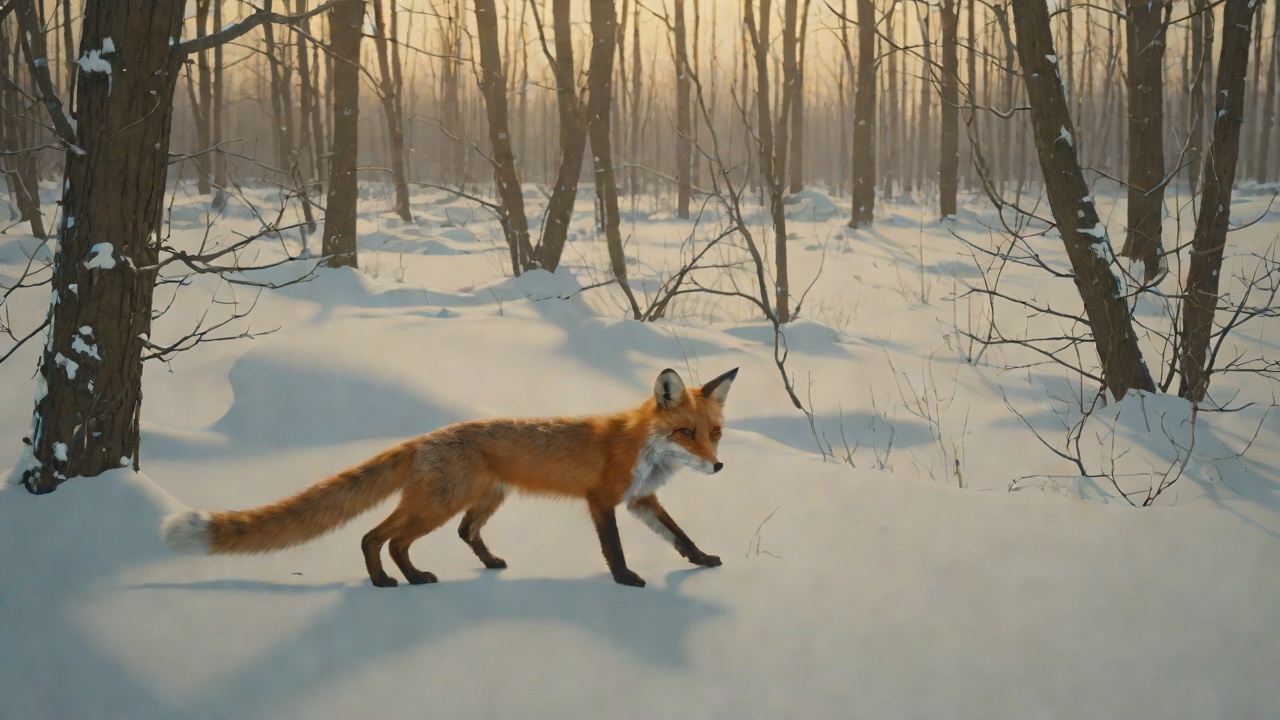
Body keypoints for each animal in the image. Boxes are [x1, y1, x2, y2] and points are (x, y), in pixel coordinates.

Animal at [161, 367, 737, 588]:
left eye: (715, 433)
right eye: (685, 433)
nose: (718, 466)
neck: (640, 447)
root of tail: (422, 439)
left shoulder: (641, 501)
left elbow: (680, 536)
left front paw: (704, 561)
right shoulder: (602, 501)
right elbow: (613, 548)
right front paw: (626, 580)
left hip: (481, 501)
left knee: (456, 533)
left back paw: (473, 566)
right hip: (435, 506)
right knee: (377, 537)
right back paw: (394, 581)